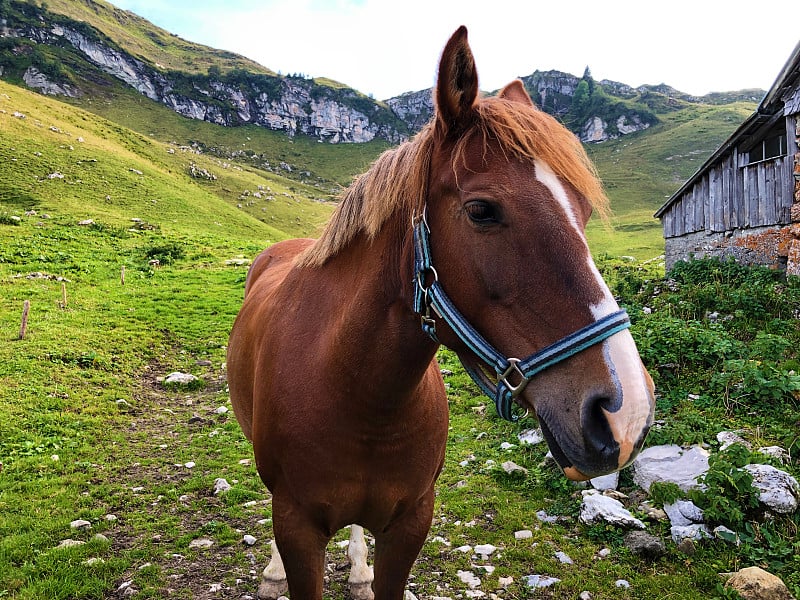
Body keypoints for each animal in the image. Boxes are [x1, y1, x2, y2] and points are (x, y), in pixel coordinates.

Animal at [228, 27, 652, 600]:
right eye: (481, 210)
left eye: (583, 212)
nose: (625, 414)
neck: (358, 395)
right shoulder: (297, 526)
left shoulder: (410, 524)